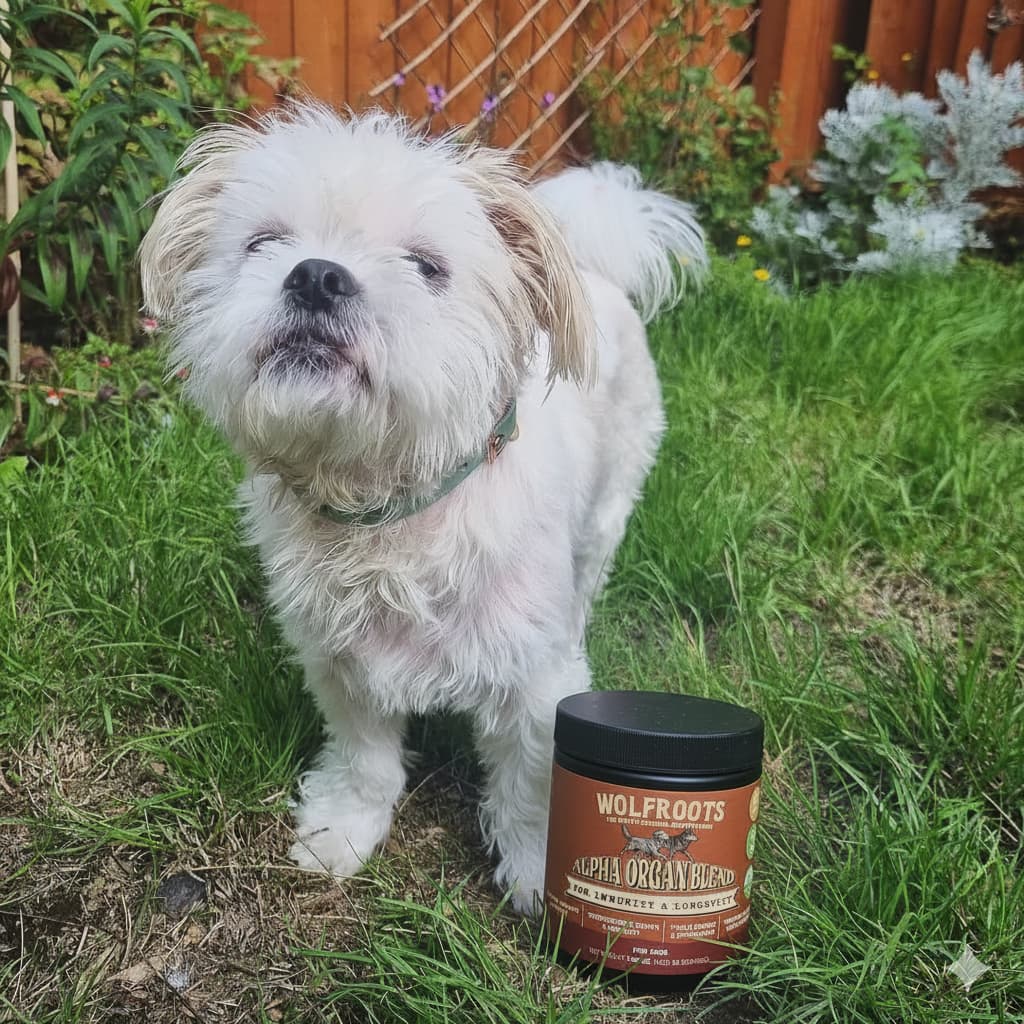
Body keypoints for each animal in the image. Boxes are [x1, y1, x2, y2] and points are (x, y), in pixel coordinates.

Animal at [139, 104, 705, 914]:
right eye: (262, 243)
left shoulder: (534, 688)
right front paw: (343, 832)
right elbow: (367, 762)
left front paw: (542, 874)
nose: (315, 275)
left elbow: (532, 786)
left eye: (427, 266)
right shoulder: (342, 667)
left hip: (608, 512)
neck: (389, 514)